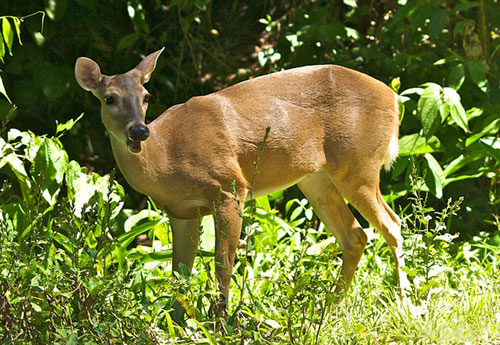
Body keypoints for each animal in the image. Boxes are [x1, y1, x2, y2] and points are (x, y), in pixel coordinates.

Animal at [74, 48, 410, 320]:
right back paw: (327, 309)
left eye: (146, 96)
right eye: (109, 98)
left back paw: (405, 305)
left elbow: (222, 266)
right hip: (316, 178)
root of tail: (393, 98)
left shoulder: (229, 188)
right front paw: (176, 323)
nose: (139, 131)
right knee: (355, 235)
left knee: (392, 224)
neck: (165, 158)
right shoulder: (181, 212)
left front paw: (221, 323)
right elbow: (179, 273)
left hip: (359, 166)